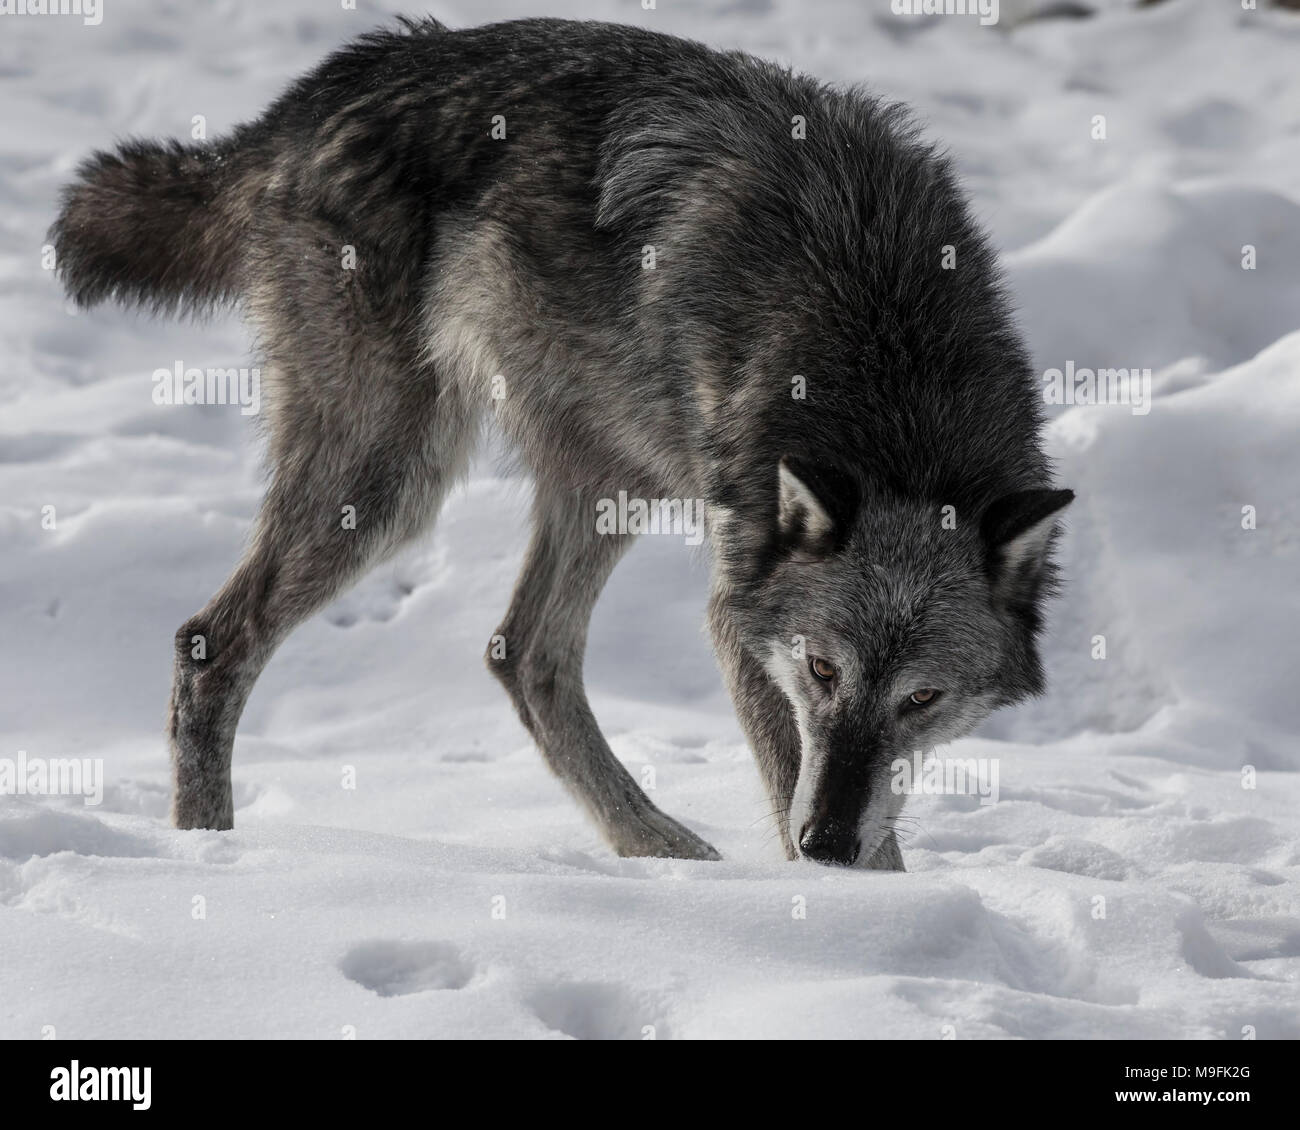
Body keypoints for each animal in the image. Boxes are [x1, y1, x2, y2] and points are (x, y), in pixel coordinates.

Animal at [50, 15, 1071, 863]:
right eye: (822, 669)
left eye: (922, 699)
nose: (822, 845)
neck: (889, 366)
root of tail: (330, 83)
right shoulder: (742, 617)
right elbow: (808, 784)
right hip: (391, 487)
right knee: (209, 644)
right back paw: (210, 859)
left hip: (611, 478)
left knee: (523, 652)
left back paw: (653, 846)